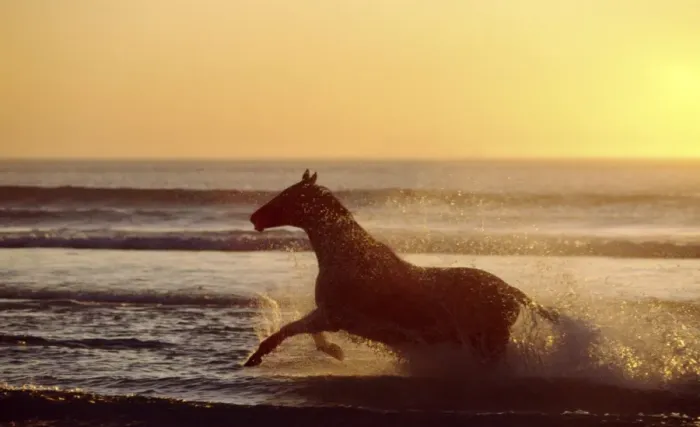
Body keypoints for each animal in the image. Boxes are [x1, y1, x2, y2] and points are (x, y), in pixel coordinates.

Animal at [243, 169, 558, 367]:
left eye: (288, 196)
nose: (254, 217)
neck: (344, 256)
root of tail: (510, 291)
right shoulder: (328, 316)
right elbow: (306, 332)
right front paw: (335, 351)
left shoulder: (332, 316)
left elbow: (289, 330)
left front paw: (254, 358)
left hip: (488, 344)